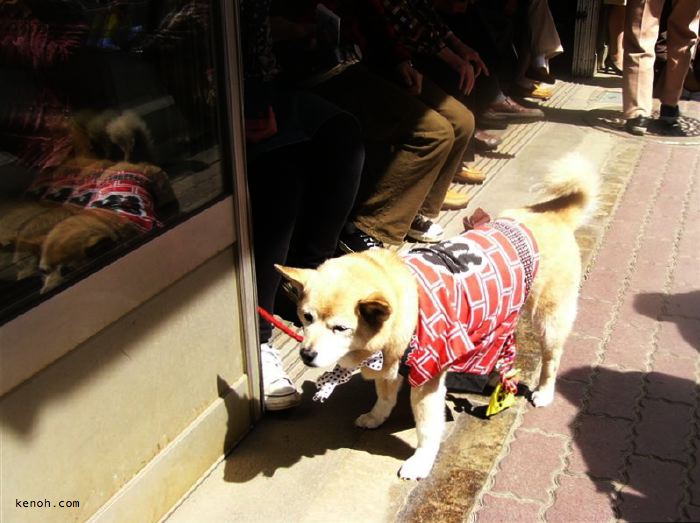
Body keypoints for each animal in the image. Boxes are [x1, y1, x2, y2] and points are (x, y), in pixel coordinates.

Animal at [276, 154, 600, 482]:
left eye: (340, 328)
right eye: (306, 317)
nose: (306, 355)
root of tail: (551, 216)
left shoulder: (426, 381)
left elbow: (427, 430)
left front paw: (420, 462)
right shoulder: (391, 368)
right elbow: (384, 399)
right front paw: (376, 418)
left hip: (549, 321)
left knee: (551, 360)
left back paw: (543, 392)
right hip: (502, 312)